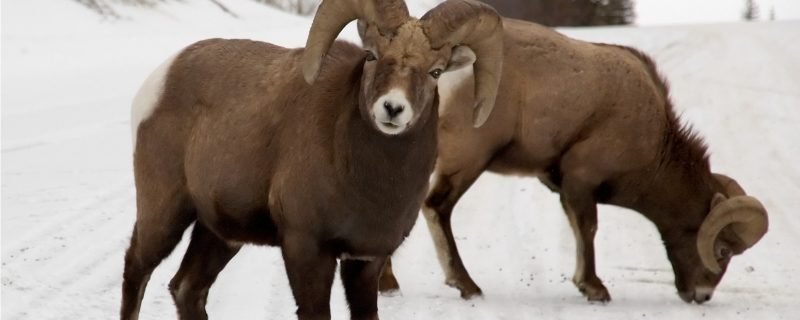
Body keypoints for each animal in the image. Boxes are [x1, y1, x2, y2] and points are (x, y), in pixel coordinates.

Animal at [122, 0, 504, 320]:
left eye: (436, 72)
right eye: (371, 55)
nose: (392, 109)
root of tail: (161, 77)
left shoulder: (368, 261)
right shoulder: (307, 250)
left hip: (219, 234)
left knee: (187, 288)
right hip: (165, 212)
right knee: (137, 268)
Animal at [380, 18, 768, 304]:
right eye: (722, 250)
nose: (701, 295)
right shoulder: (582, 180)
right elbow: (588, 229)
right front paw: (594, 289)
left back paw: (388, 285)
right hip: (468, 160)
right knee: (437, 207)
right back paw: (467, 286)